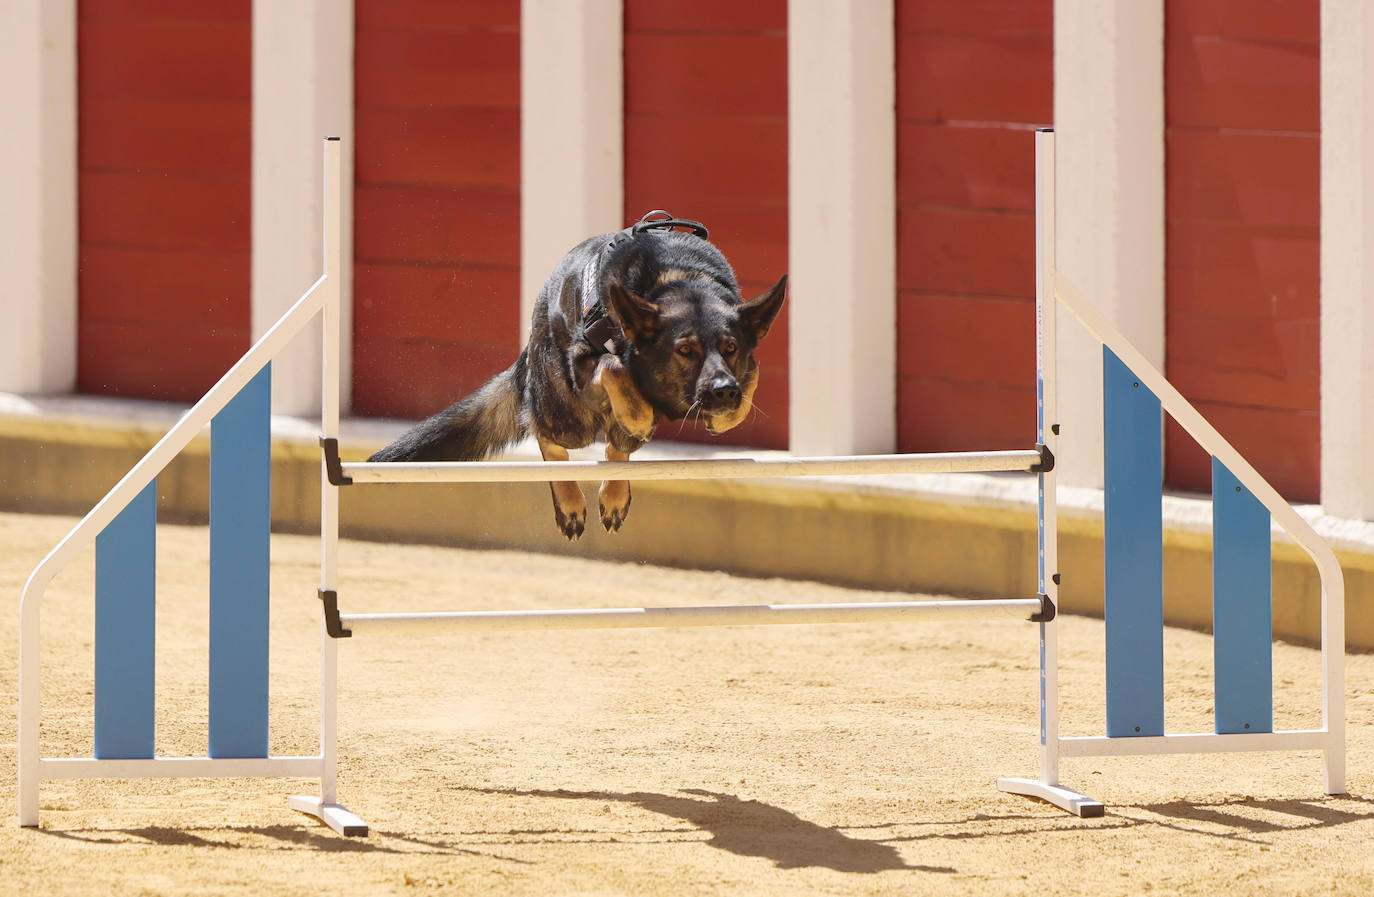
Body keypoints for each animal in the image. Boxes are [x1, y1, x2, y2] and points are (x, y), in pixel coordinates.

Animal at [370, 211, 791, 538]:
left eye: (731, 348)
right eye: (685, 350)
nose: (723, 392)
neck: (680, 280)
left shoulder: (743, 367)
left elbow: (753, 373)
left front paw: (725, 417)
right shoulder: (584, 360)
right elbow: (614, 366)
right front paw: (639, 412)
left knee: (614, 448)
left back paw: (614, 493)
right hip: (567, 410)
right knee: (547, 435)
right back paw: (572, 498)